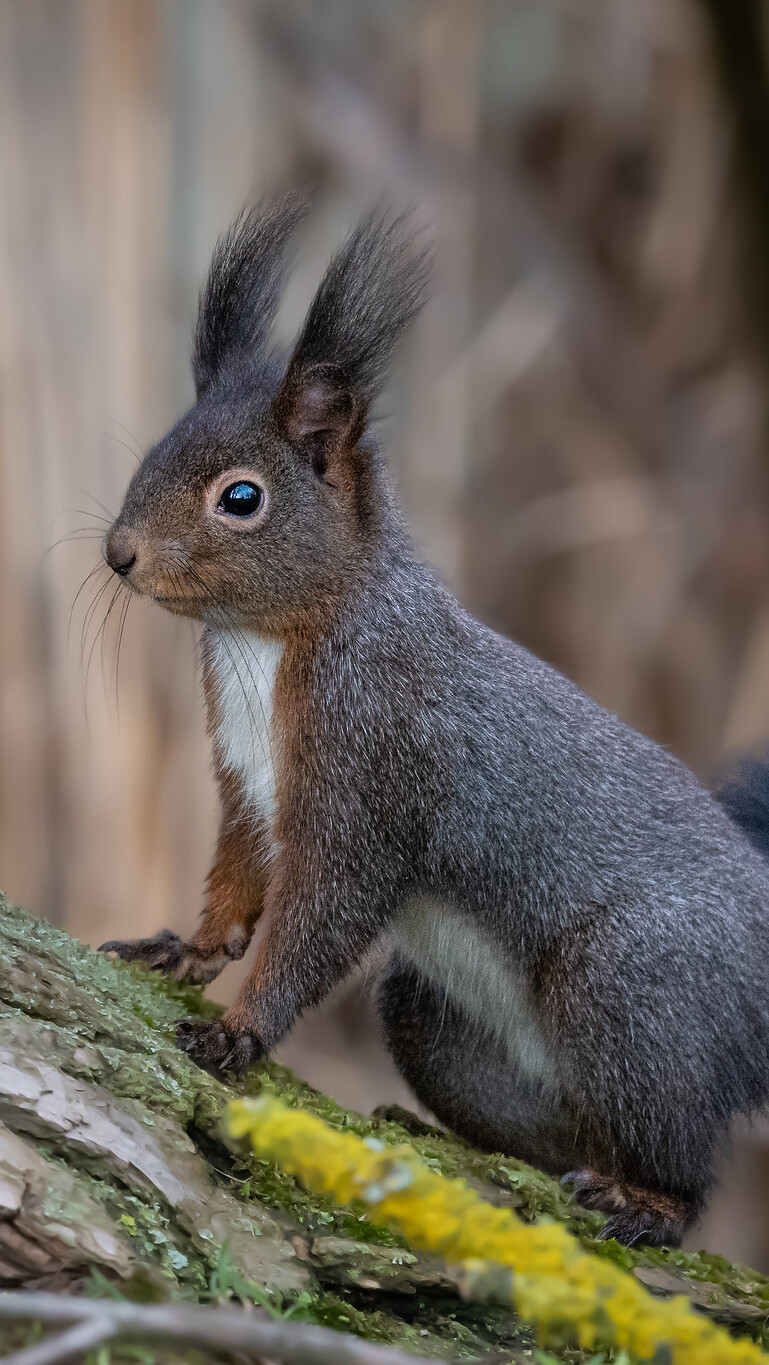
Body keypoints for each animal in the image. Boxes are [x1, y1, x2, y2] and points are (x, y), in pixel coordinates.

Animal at [102, 192, 769, 1250]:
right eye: (152, 455)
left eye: (241, 497)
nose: (118, 553)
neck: (268, 641)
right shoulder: (248, 782)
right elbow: (237, 879)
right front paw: (183, 948)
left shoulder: (372, 770)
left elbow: (320, 916)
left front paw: (240, 1029)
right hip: (446, 1023)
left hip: (635, 989)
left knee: (685, 1161)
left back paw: (645, 1204)